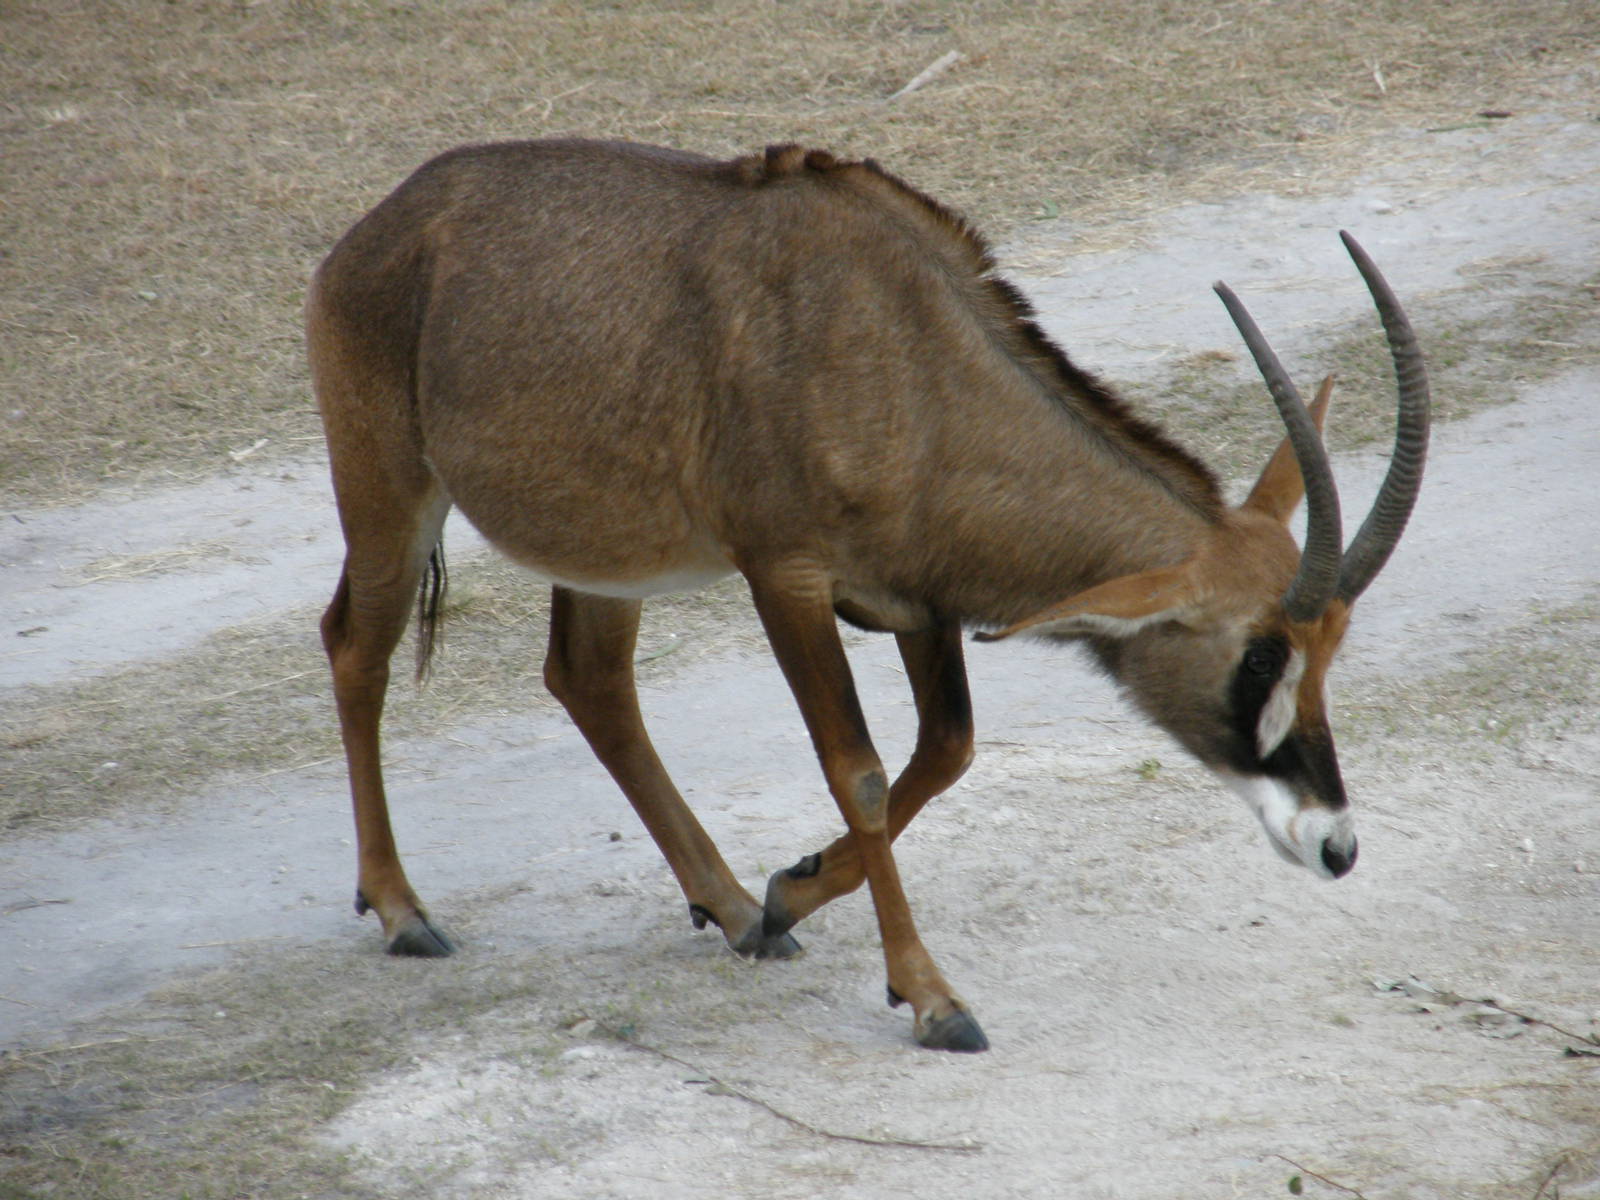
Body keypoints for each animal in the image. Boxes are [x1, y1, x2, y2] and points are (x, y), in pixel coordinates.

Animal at [308, 140, 1427, 1053]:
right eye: (1259, 653)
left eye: (1329, 651)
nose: (1335, 845)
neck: (911, 357)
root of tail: (378, 232)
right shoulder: (787, 577)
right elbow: (862, 773)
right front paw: (932, 999)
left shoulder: (917, 605)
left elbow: (945, 754)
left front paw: (787, 895)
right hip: (391, 494)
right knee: (355, 648)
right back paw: (403, 911)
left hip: (606, 553)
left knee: (590, 682)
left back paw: (729, 908)